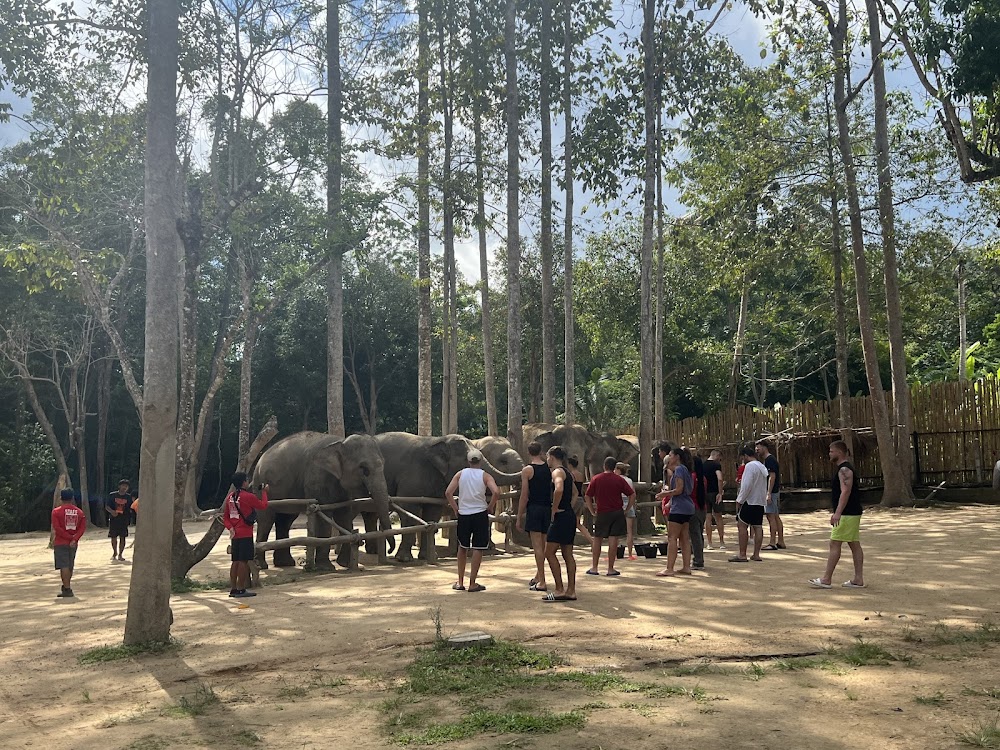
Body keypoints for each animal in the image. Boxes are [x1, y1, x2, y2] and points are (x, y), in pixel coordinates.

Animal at [252, 434, 392, 568]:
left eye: (383, 463)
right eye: (364, 469)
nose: (390, 550)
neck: (340, 442)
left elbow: (344, 516)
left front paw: (345, 564)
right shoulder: (318, 478)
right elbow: (325, 516)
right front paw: (326, 567)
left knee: (285, 520)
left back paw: (285, 563)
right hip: (261, 486)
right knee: (266, 520)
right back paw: (261, 565)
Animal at [370, 432, 524, 560]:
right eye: (503, 461)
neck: (439, 440)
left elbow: (433, 511)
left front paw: (429, 556)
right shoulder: (412, 475)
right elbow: (409, 509)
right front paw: (404, 559)